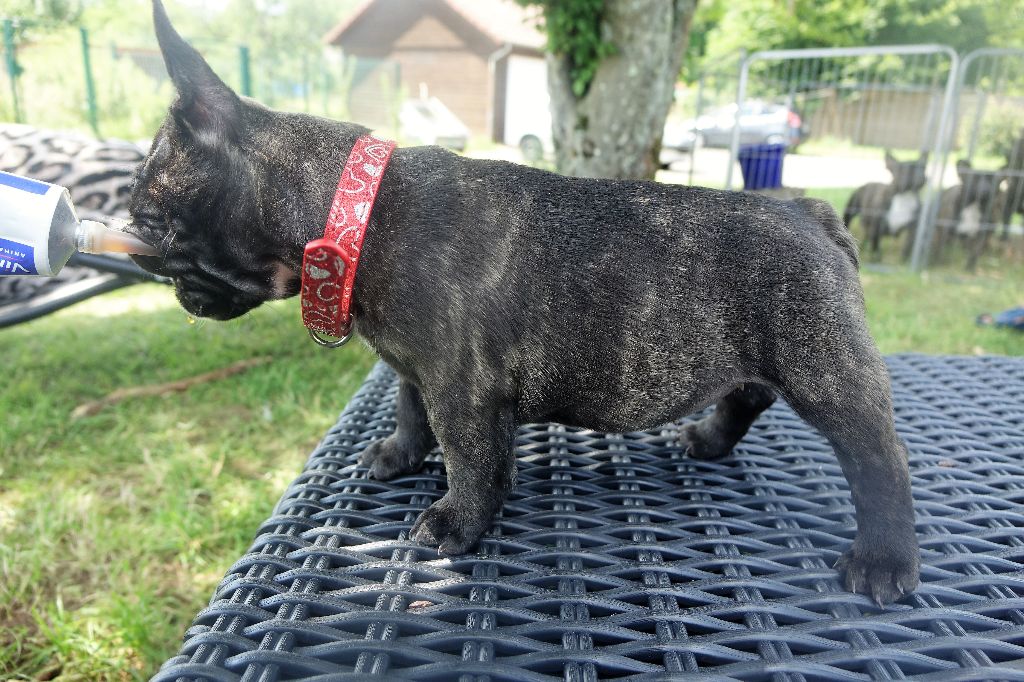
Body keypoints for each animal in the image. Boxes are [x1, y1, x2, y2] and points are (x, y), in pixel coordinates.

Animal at [127, 0, 919, 605]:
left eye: (150, 221)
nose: (154, 267)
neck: (353, 216)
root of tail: (811, 213)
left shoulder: (463, 389)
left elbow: (473, 461)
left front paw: (455, 522)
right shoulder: (415, 369)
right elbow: (407, 408)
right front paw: (400, 454)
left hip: (825, 368)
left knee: (879, 457)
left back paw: (884, 558)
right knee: (748, 395)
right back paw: (709, 439)